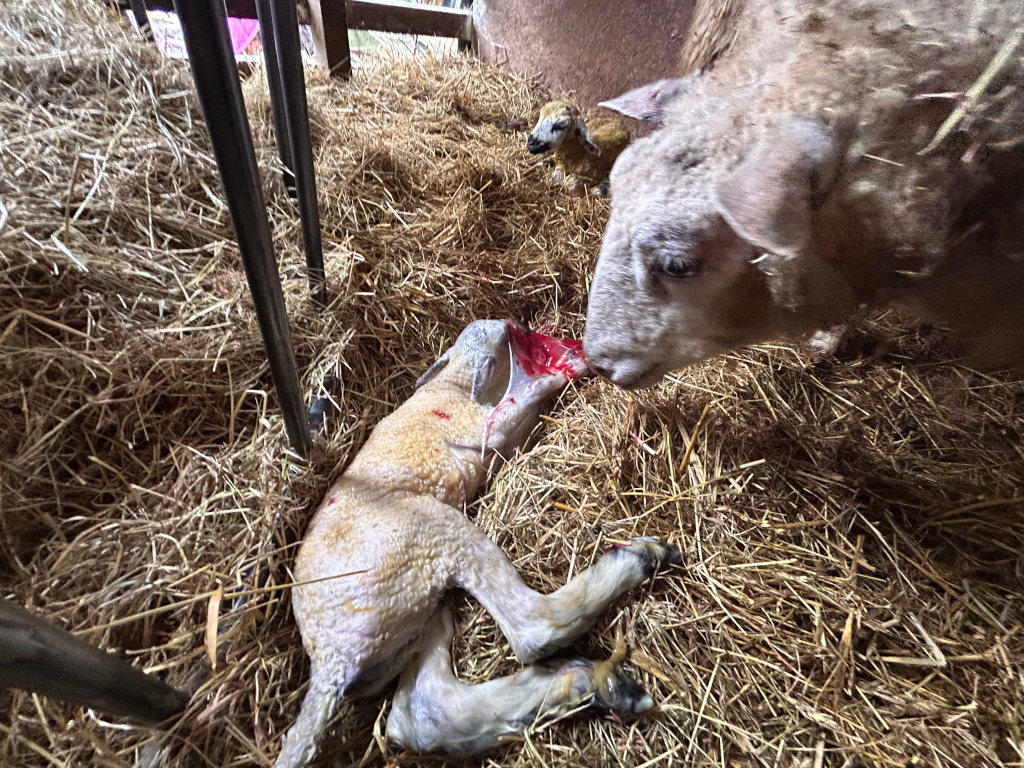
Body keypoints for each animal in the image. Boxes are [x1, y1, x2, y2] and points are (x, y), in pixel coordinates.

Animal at [272, 319, 680, 768]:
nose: (512, 323)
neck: (453, 381)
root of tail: (329, 659)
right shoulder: (483, 428)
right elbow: (515, 406)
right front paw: (563, 374)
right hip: (430, 529)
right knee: (532, 627)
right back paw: (641, 560)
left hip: (414, 609)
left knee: (423, 712)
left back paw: (594, 688)